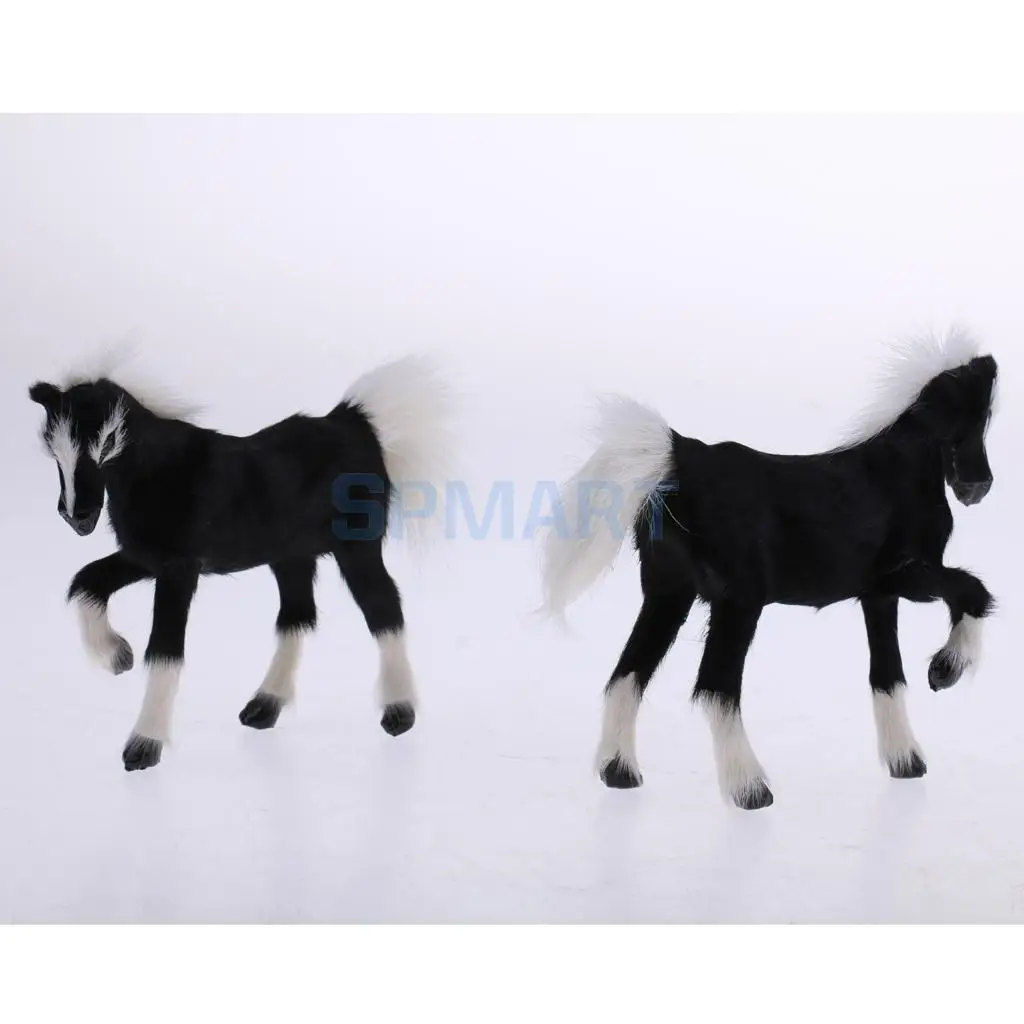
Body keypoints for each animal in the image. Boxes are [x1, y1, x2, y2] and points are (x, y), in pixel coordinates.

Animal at [29, 353, 453, 771]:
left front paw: (144, 745)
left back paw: (399, 712)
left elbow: (165, 649)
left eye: (108, 440)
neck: (161, 473)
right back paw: (264, 707)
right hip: (291, 557)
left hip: (356, 548)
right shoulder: (144, 558)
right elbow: (85, 583)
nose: (77, 518)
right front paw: (117, 656)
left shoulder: (179, 569)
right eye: (54, 450)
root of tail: (356, 423)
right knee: (297, 616)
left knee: (382, 606)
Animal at [540, 329, 998, 810]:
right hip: (737, 603)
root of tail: (681, 458)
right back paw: (750, 789)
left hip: (668, 595)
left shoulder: (878, 596)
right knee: (714, 687)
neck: (897, 471)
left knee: (627, 675)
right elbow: (973, 591)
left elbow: (887, 676)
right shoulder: (907, 575)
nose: (979, 486)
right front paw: (947, 669)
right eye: (977, 416)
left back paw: (620, 772)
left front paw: (905, 760)